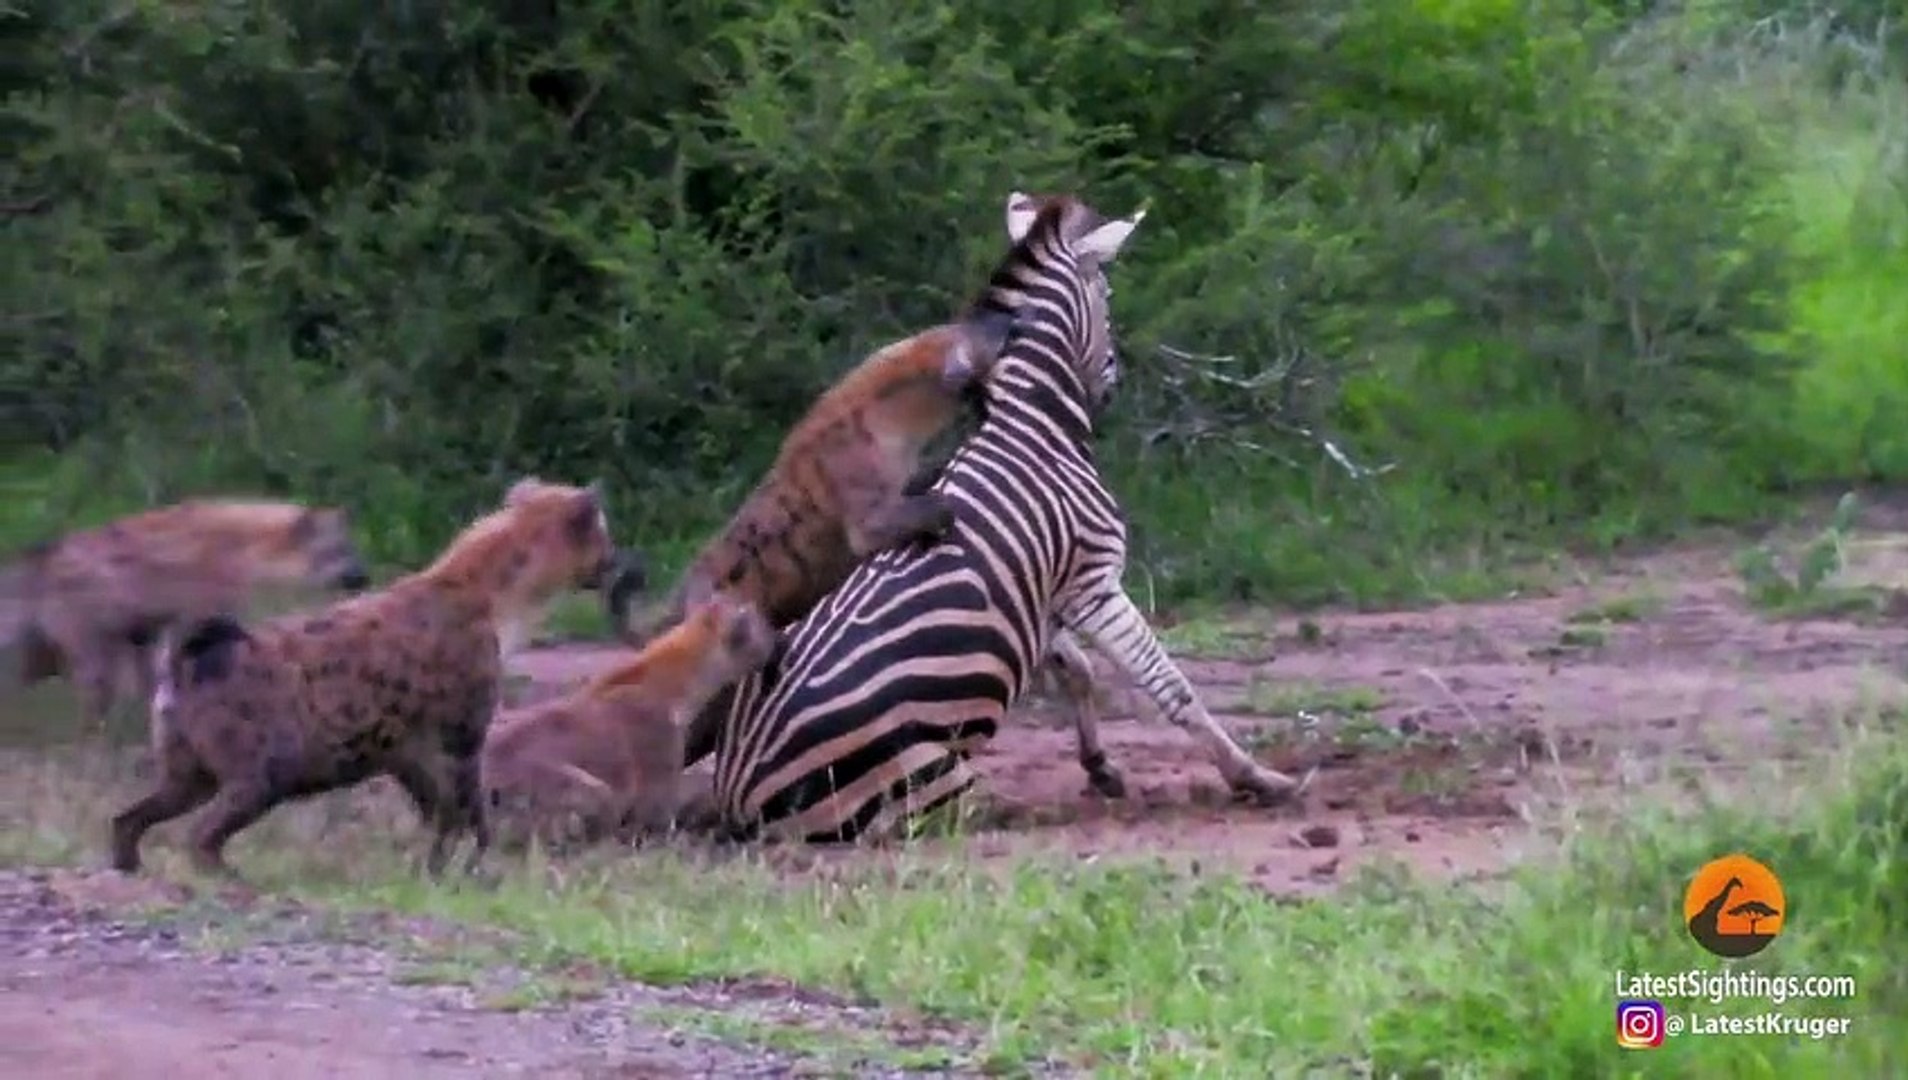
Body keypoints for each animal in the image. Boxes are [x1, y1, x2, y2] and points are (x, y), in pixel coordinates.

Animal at [701, 191, 1307, 842]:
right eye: (1109, 297)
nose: (1113, 385)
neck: (1034, 423)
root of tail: (735, 794)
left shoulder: (1048, 594)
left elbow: (1076, 669)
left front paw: (1101, 766)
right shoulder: (1094, 583)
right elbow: (1170, 686)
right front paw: (1257, 779)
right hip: (921, 777)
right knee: (947, 813)